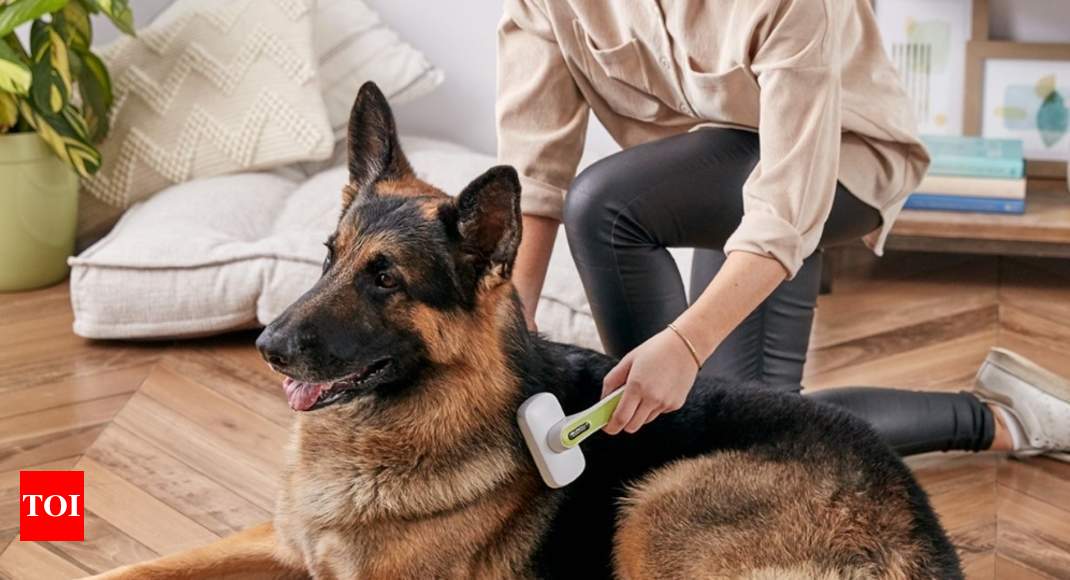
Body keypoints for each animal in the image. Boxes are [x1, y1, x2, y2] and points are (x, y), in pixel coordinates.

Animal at [92, 82, 963, 580]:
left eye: (386, 279)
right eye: (328, 258)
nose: (267, 347)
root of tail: (926, 531)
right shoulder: (280, 546)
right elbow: (140, 568)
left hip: (655, 504)